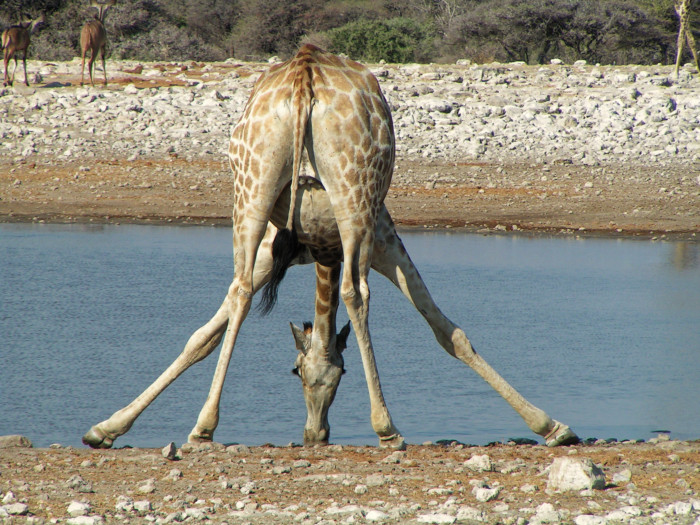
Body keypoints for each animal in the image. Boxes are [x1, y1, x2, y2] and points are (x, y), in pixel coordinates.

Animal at [83, 177, 579, 449]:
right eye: (296, 373)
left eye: (341, 376)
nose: (315, 435)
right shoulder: (269, 256)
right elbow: (203, 338)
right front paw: (108, 426)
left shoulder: (384, 243)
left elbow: (448, 332)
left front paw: (550, 425)